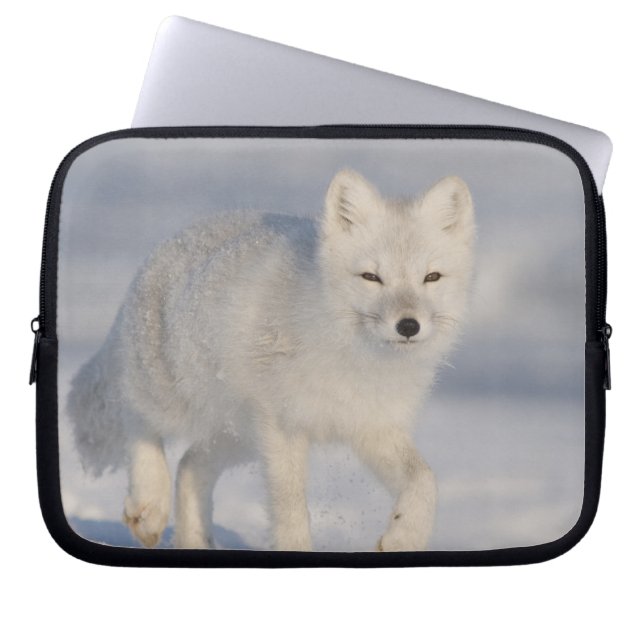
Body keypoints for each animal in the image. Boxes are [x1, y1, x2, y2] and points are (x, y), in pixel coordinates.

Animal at [68, 169, 475, 551]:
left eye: (431, 277)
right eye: (371, 277)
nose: (408, 326)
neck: (354, 355)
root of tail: (170, 243)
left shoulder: (372, 426)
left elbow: (425, 479)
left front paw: (404, 536)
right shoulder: (284, 426)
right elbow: (291, 507)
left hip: (240, 435)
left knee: (190, 465)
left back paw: (193, 542)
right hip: (175, 399)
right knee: (134, 415)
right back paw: (149, 504)